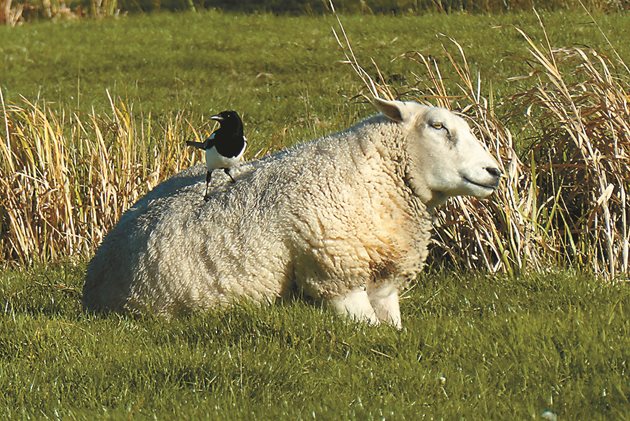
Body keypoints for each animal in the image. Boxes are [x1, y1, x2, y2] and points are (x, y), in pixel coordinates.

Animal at [82, 99, 504, 328]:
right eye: (438, 126)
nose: (494, 171)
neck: (372, 173)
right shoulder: (334, 274)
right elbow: (368, 327)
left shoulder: (383, 274)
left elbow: (392, 326)